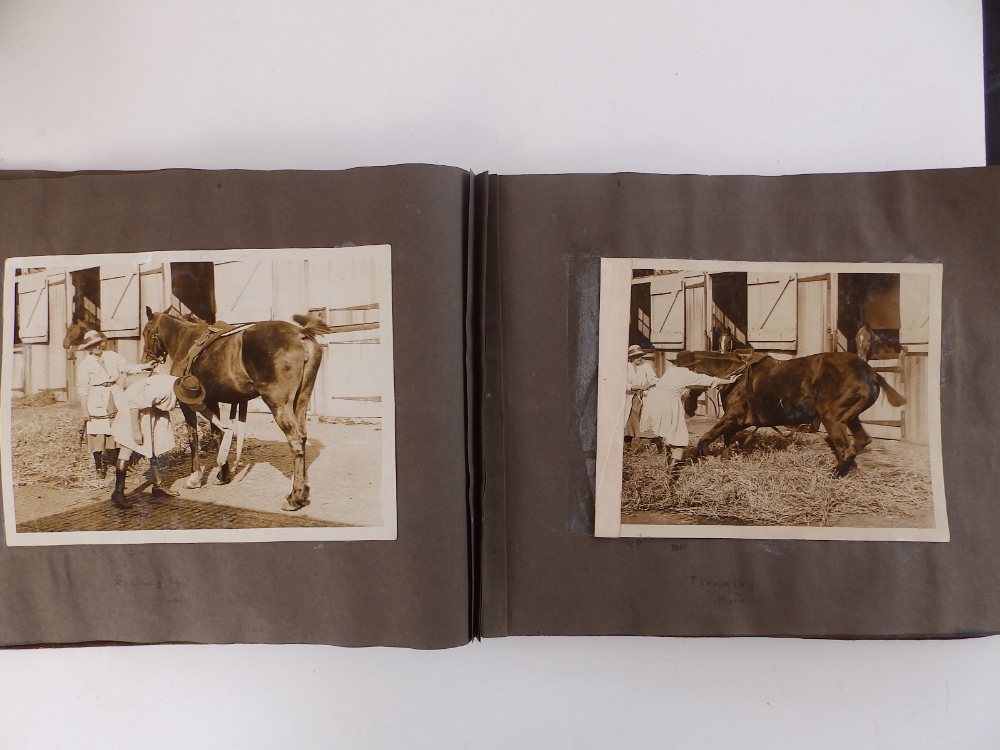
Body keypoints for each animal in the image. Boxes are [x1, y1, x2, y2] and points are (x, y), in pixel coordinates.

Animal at [141, 306, 336, 512]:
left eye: (146, 331)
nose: (146, 359)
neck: (187, 342)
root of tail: (300, 333)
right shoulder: (211, 401)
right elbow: (218, 435)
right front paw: (223, 474)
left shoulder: (188, 404)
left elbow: (193, 438)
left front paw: (195, 478)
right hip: (301, 402)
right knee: (303, 437)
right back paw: (302, 492)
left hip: (279, 405)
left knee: (296, 440)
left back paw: (294, 498)